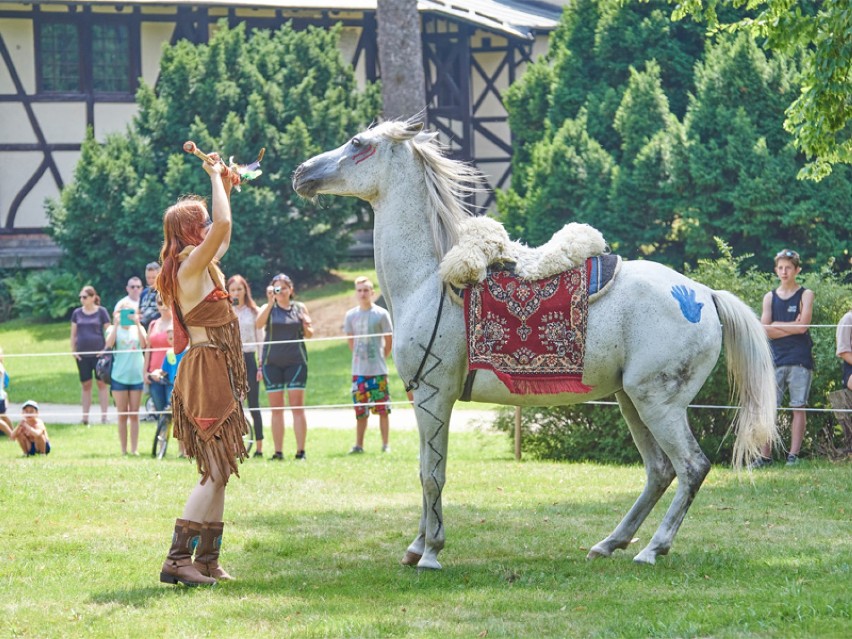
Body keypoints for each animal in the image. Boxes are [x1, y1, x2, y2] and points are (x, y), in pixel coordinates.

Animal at [292, 120, 780, 568]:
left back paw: (652, 549)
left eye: (358, 143)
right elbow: (424, 470)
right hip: (632, 400)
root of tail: (704, 295)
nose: (301, 172)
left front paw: (430, 552)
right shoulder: (423, 400)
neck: (429, 280)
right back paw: (610, 543)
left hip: (659, 404)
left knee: (691, 467)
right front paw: (416, 546)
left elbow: (433, 475)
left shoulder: (434, 397)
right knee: (659, 471)